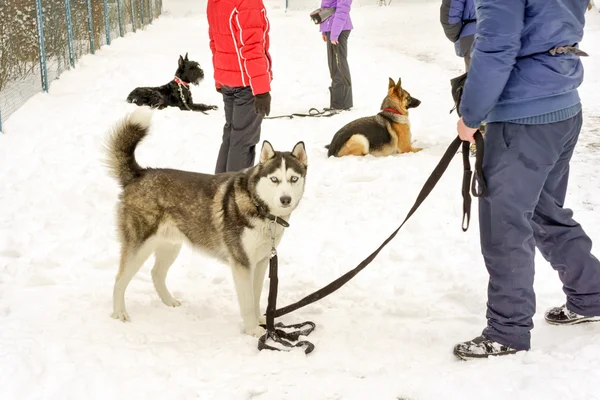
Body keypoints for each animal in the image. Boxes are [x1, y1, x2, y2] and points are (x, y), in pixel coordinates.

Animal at [104, 108, 310, 336]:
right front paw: (253, 331)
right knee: (119, 279)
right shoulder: (242, 263)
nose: (285, 199)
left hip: (170, 245)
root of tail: (140, 174)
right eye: (274, 179)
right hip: (139, 246)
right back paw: (119, 313)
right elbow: (248, 302)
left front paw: (262, 322)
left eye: (293, 179)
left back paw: (169, 301)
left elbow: (257, 298)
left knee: (156, 273)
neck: (259, 208)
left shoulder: (262, 261)